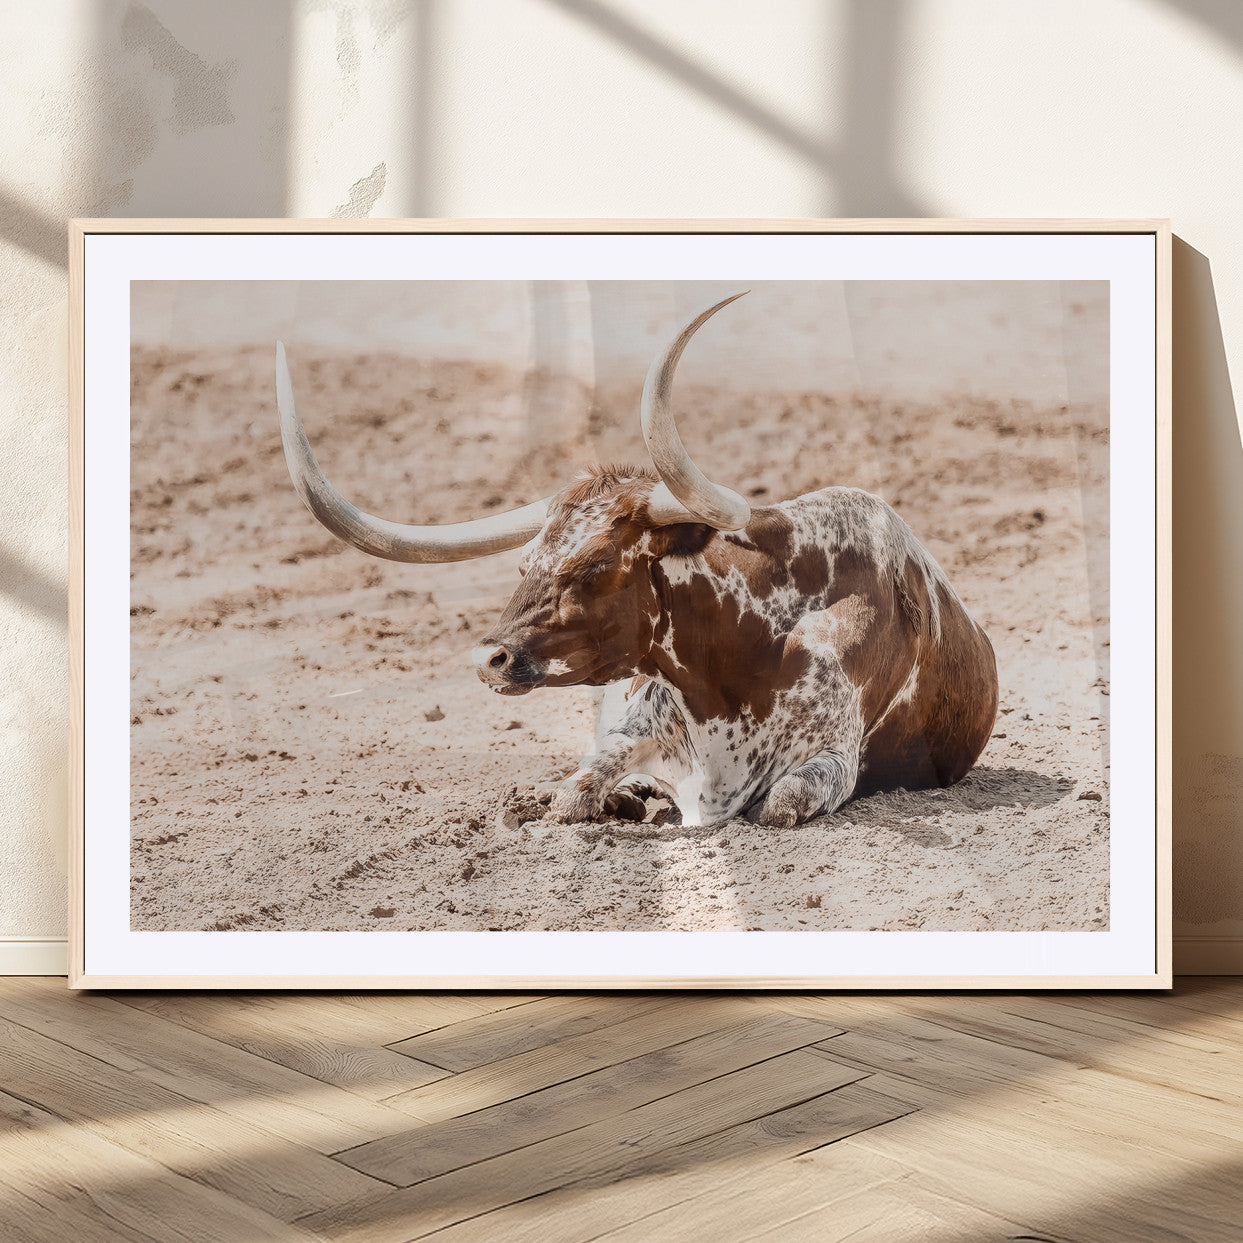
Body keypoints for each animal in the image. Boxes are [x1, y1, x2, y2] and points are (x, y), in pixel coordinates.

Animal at [276, 292, 998, 829]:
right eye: (524, 563)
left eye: (596, 566)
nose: (490, 659)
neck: (744, 658)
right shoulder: (632, 724)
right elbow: (575, 791)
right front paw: (599, 798)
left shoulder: (831, 760)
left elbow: (778, 803)